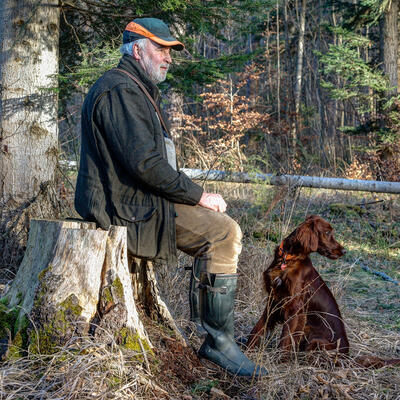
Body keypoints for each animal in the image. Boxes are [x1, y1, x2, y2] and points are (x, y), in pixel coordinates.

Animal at [247, 216, 400, 368]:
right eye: (327, 232)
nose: (344, 251)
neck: (289, 259)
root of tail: (347, 357)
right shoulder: (273, 301)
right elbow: (258, 328)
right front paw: (247, 350)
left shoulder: (294, 307)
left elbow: (286, 338)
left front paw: (280, 361)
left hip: (316, 341)